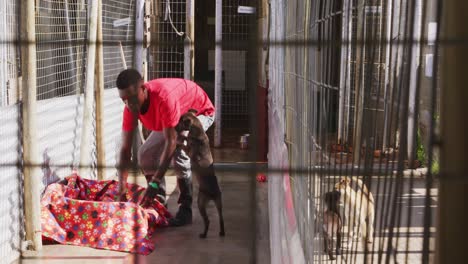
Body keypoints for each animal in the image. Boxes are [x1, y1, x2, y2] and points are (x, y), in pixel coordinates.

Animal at [176, 109, 226, 239]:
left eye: (180, 122)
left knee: (207, 220)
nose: (174, 127)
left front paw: (179, 141)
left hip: (200, 202)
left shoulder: (189, 151)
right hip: (219, 203)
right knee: (221, 218)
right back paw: (221, 232)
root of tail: (212, 195)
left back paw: (204, 234)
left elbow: (183, 144)